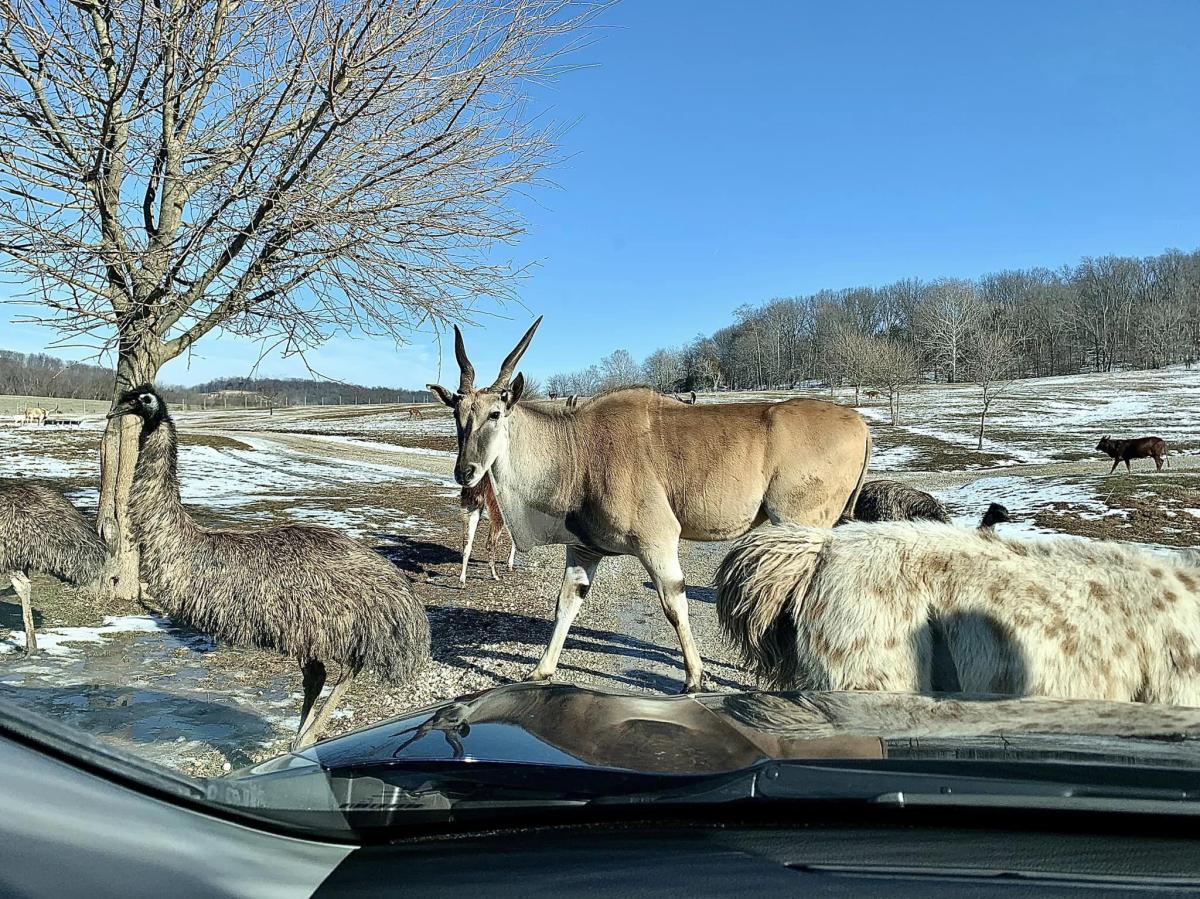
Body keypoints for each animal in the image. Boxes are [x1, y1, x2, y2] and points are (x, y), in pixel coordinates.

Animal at [432, 319, 873, 691]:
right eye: (458, 413)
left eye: (495, 413)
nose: (465, 471)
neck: (578, 448)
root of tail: (860, 424)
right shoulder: (584, 549)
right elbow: (566, 604)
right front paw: (541, 670)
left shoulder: (657, 539)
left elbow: (674, 603)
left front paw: (695, 678)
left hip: (799, 523)